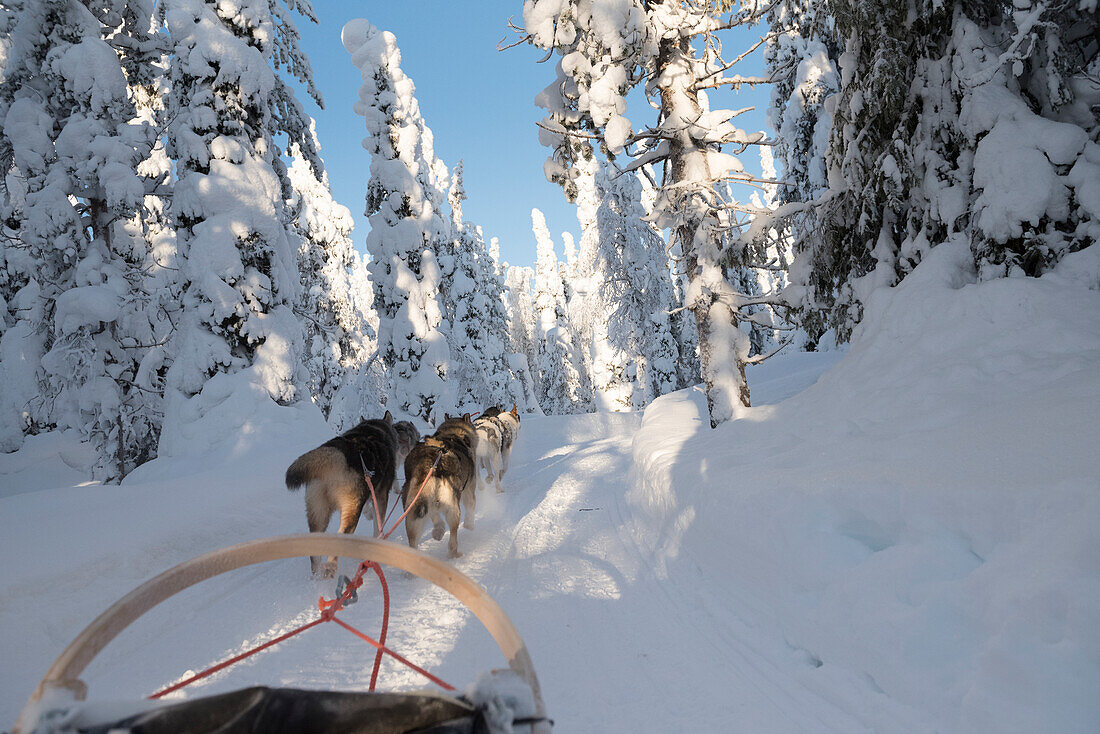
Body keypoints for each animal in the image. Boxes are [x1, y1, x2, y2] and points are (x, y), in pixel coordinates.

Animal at [288, 411, 400, 576]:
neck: (375, 429)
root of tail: (337, 453)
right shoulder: (380, 494)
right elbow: (377, 524)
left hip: (318, 513)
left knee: (315, 555)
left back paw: (317, 575)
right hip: (351, 512)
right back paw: (330, 569)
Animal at [400, 413, 477, 556]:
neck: (453, 434)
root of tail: (430, 466)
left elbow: (435, 516)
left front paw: (438, 531)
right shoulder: (469, 490)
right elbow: (471, 508)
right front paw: (469, 526)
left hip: (413, 512)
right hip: (453, 510)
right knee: (453, 539)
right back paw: (455, 554)